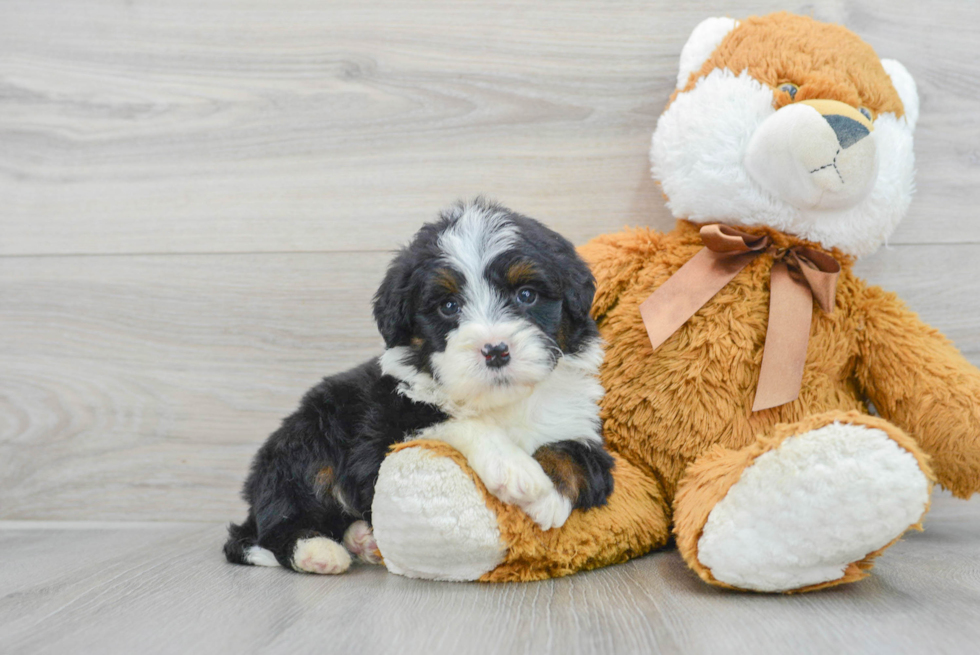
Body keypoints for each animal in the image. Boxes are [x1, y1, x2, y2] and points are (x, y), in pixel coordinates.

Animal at [226, 199, 616, 576]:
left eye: (526, 295)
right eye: (448, 305)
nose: (495, 350)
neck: (499, 401)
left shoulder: (582, 426)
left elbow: (574, 452)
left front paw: (548, 493)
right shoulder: (389, 428)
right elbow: (457, 422)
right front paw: (516, 470)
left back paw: (361, 539)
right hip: (308, 444)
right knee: (276, 523)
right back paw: (317, 551)